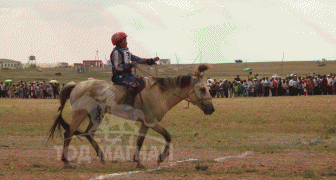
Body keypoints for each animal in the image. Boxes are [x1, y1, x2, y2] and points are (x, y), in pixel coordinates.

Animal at [48, 63, 215, 167]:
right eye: (202, 89)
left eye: (208, 88)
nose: (211, 109)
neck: (160, 93)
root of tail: (76, 85)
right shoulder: (151, 121)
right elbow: (167, 136)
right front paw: (160, 157)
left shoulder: (145, 123)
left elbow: (139, 141)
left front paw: (138, 161)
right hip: (80, 114)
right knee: (69, 133)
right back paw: (66, 161)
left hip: (96, 116)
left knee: (89, 133)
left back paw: (102, 157)